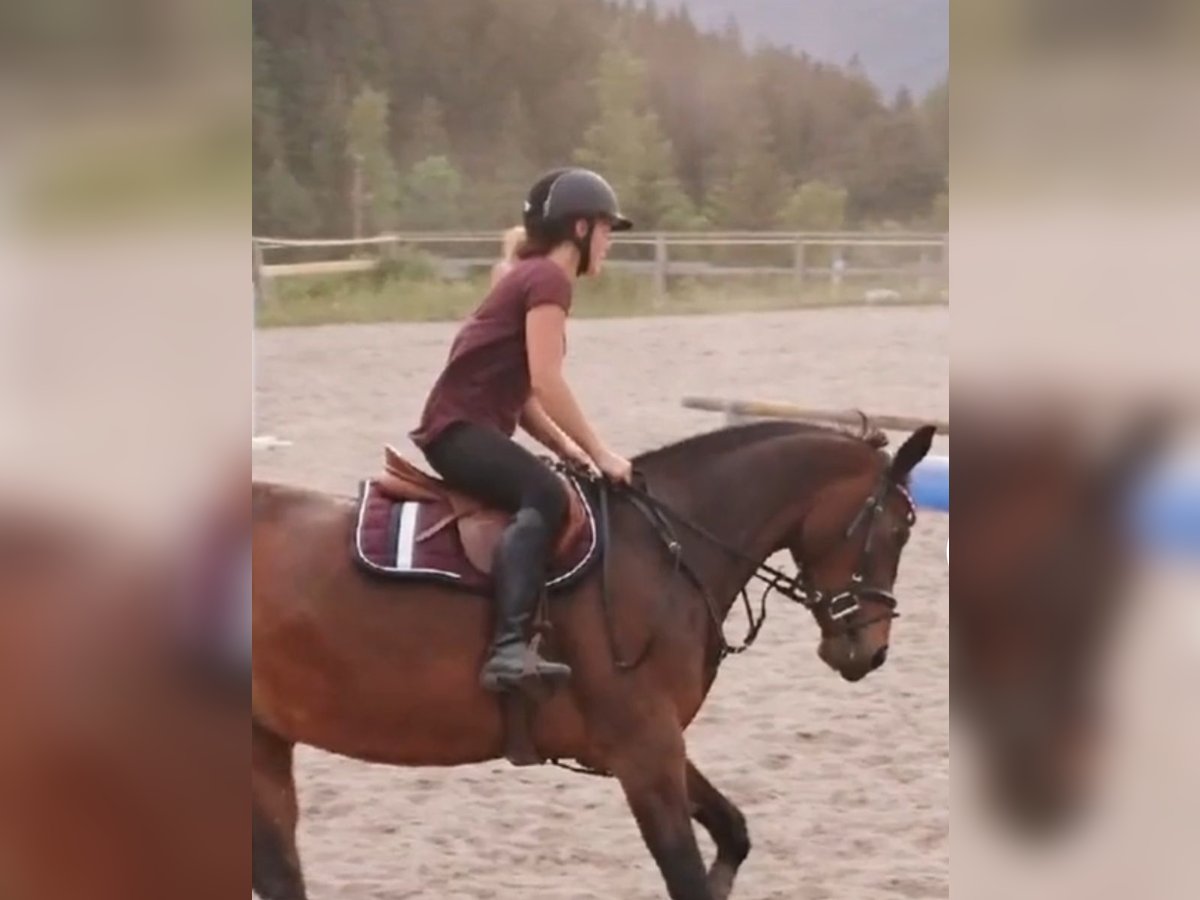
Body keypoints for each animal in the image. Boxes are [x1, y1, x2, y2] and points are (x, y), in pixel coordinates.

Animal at [250, 420, 936, 897]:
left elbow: (733, 833)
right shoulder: (644, 751)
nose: (870, 650)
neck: (663, 551)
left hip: (264, 743)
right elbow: (687, 876)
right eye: (897, 529)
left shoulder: (656, 743)